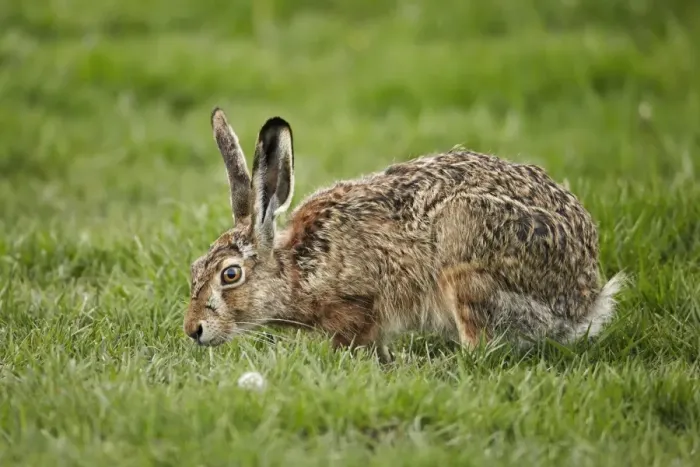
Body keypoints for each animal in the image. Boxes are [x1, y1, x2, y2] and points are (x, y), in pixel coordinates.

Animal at [183, 107, 625, 362]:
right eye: (194, 268)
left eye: (230, 274)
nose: (193, 331)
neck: (297, 267)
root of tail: (585, 300)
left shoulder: (359, 305)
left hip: (466, 257)